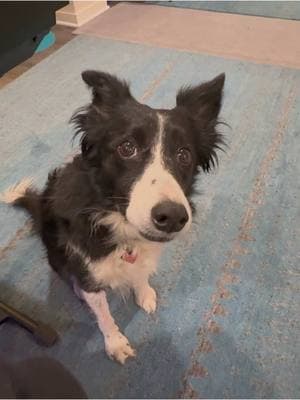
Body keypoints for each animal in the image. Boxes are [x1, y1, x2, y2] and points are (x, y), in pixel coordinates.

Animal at [0, 70, 225, 364]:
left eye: (184, 154)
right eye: (127, 148)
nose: (173, 217)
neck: (121, 225)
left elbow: (140, 273)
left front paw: (144, 292)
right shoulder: (90, 273)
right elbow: (104, 314)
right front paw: (116, 343)